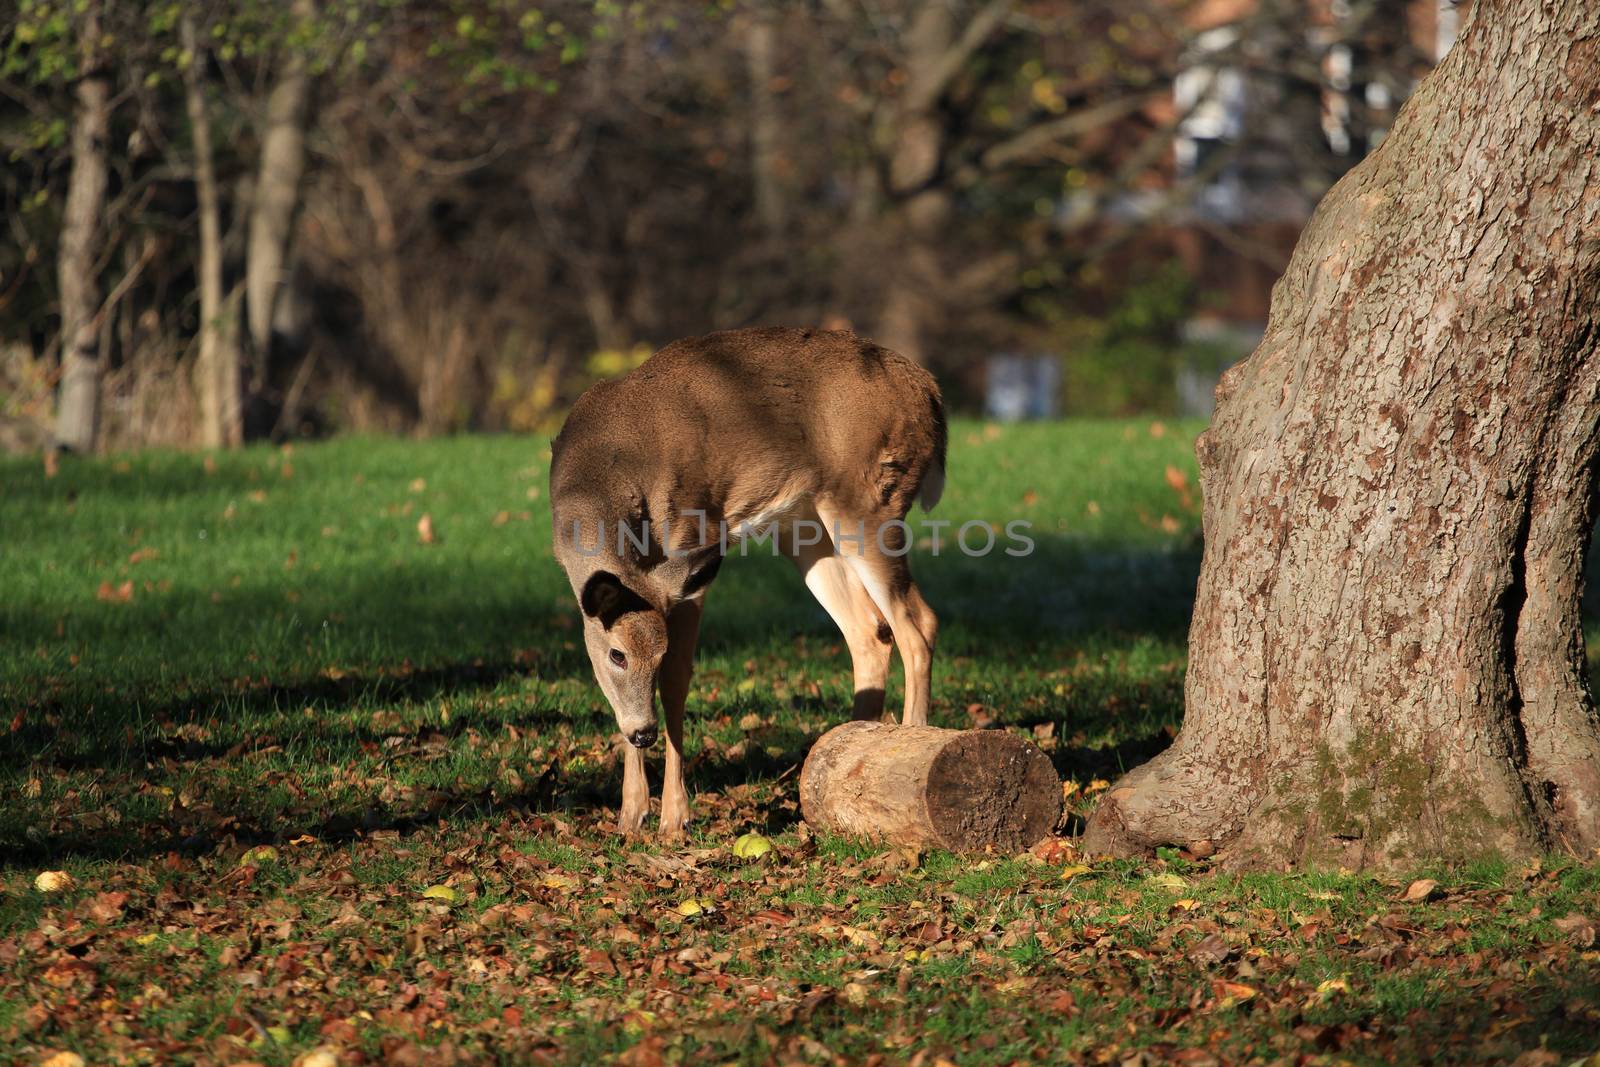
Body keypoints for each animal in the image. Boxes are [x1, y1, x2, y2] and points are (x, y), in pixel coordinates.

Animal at [553, 326, 947, 831]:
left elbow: (678, 681)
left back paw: (909, 745)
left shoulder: (691, 543)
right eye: (616, 655)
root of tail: (929, 392)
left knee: (918, 623)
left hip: (868, 501)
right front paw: (629, 816)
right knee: (868, 629)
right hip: (803, 527)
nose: (643, 733)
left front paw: (673, 820)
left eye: (656, 655)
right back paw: (842, 759)